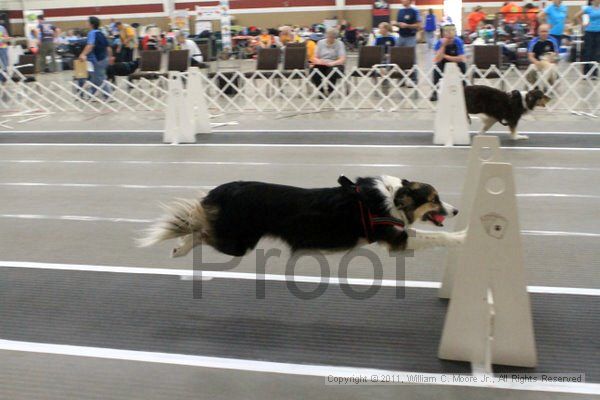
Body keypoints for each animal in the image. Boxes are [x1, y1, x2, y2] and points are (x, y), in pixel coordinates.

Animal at [137, 174, 464, 256]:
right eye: (435, 200)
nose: (455, 209)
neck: (393, 198)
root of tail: (223, 190)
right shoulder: (398, 239)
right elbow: (438, 237)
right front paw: (464, 234)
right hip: (238, 243)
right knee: (199, 229)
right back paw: (180, 247)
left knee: (198, 226)